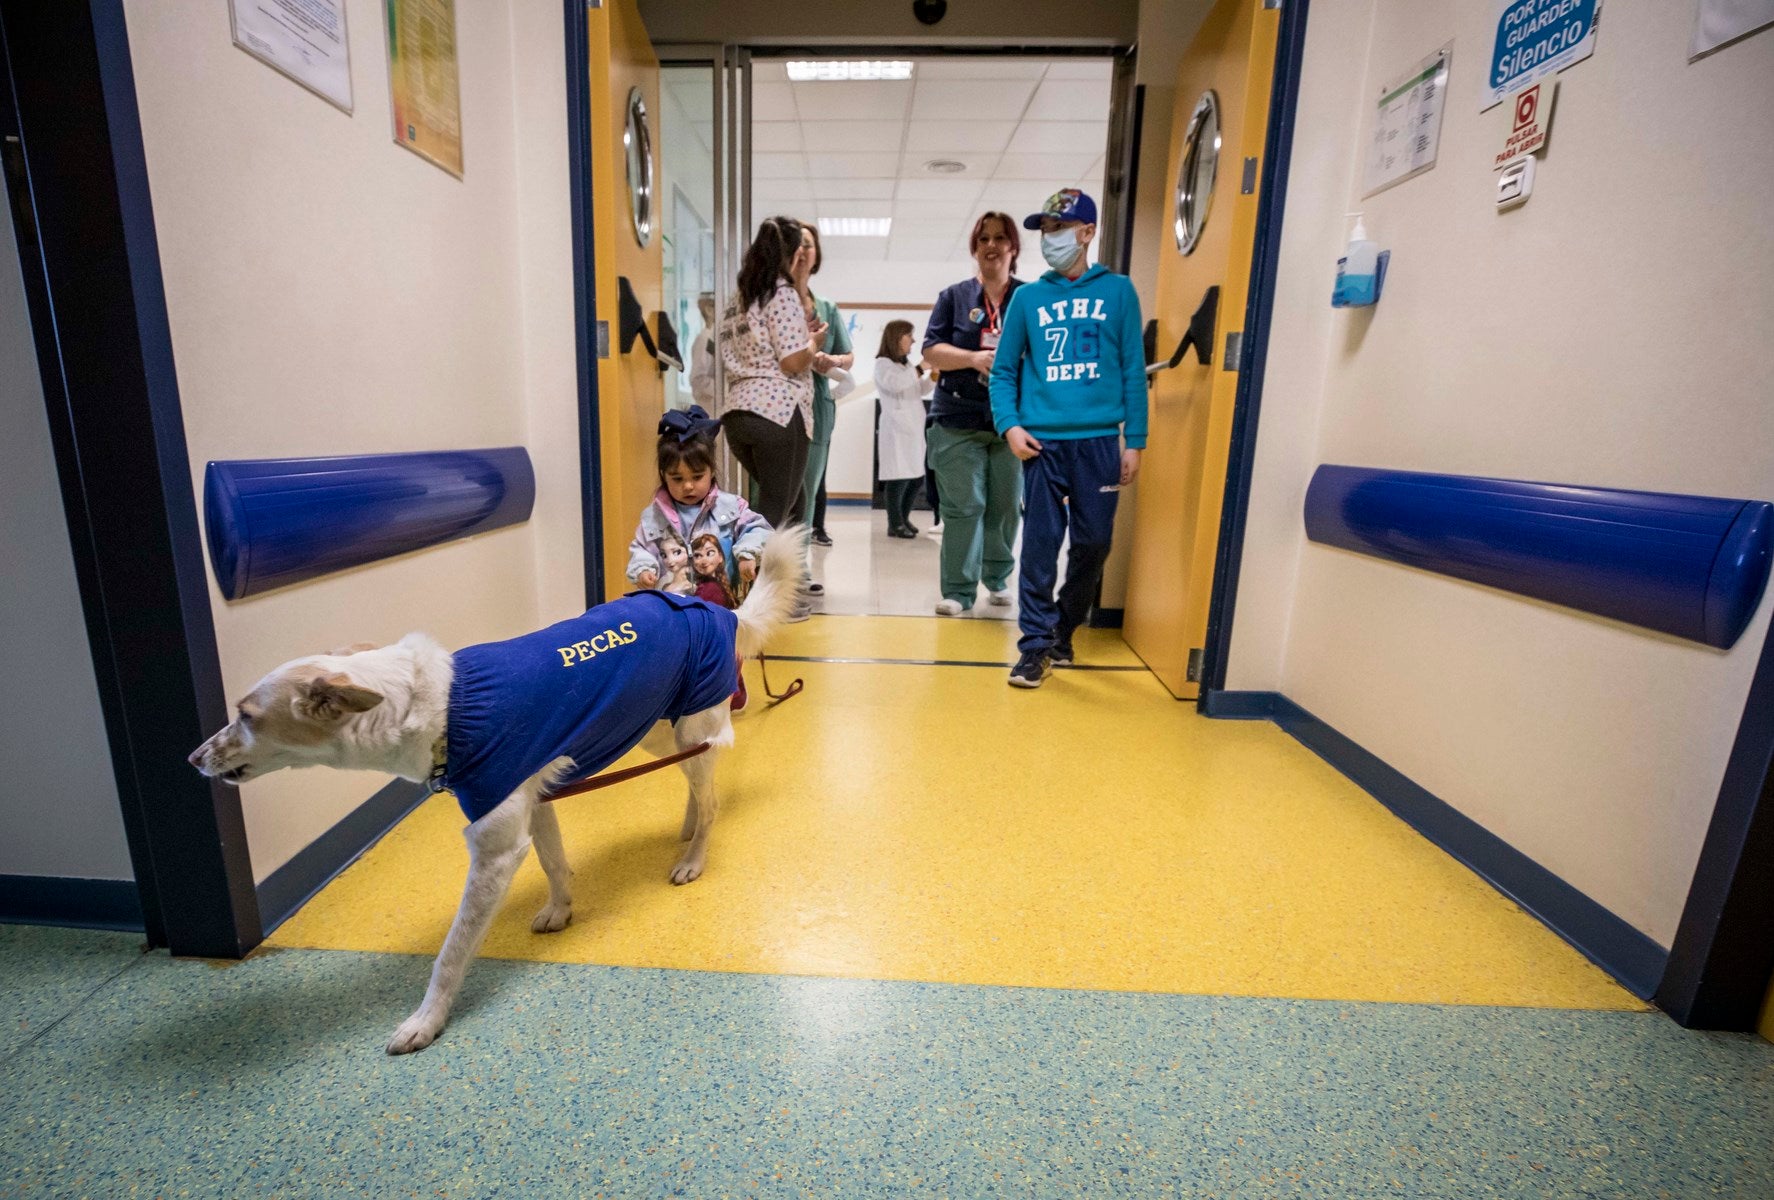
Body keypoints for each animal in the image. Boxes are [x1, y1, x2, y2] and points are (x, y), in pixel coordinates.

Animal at [190, 525, 808, 1050]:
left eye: (246, 716)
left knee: (713, 798)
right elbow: (556, 864)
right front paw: (560, 910)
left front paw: (426, 1021)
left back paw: (694, 856)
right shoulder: (533, 802)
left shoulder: (494, 849)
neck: (440, 707)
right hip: (655, 727)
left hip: (689, 726)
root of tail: (715, 609)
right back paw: (683, 827)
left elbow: (452, 953)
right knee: (695, 782)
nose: (193, 758)